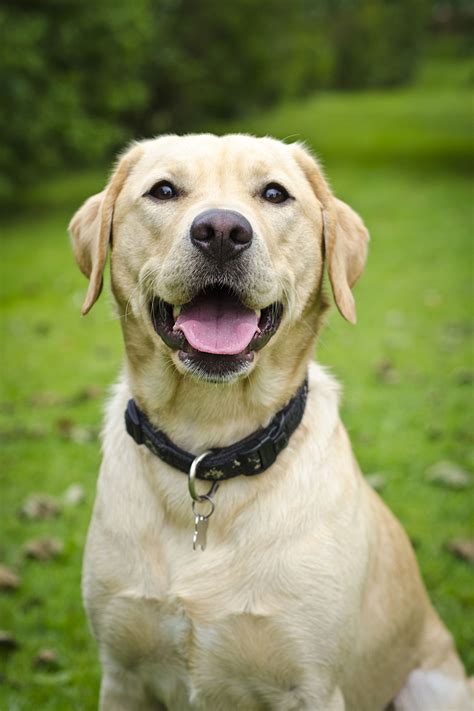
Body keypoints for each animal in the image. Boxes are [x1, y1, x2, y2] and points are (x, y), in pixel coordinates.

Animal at [68, 135, 472, 711]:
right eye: (163, 190)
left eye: (275, 193)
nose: (221, 232)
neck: (210, 446)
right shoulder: (123, 676)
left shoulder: (311, 686)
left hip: (431, 685)